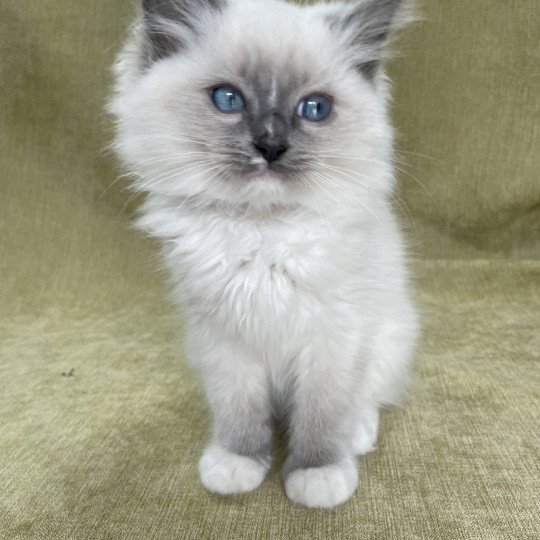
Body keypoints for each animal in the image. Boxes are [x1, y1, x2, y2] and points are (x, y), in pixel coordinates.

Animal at [112, 0, 420, 508]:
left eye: (315, 108)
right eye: (228, 100)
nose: (271, 145)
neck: (262, 231)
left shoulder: (332, 339)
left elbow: (322, 416)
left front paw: (317, 476)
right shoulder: (226, 342)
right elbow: (240, 412)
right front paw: (238, 464)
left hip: (388, 336)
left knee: (367, 398)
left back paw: (358, 435)